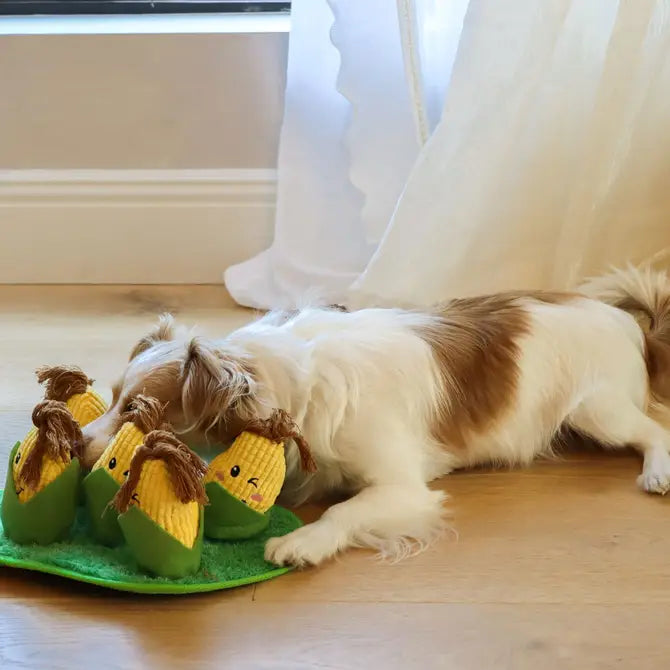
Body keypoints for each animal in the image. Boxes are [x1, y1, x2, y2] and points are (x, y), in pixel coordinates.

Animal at [82, 266, 670, 568]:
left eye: (136, 413)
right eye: (111, 399)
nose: (78, 443)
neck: (290, 384)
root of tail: (630, 322)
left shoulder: (404, 489)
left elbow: (346, 511)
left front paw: (303, 542)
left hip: (598, 411)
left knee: (653, 429)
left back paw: (657, 470)